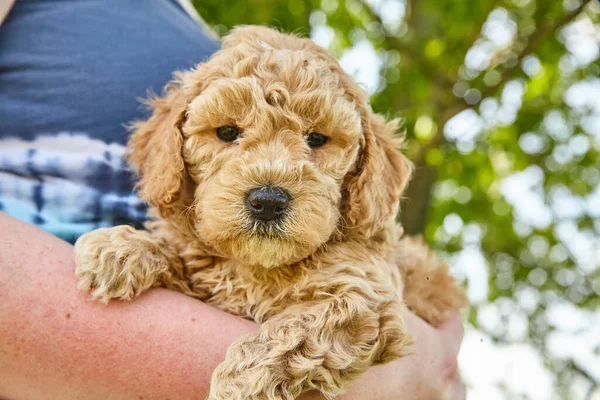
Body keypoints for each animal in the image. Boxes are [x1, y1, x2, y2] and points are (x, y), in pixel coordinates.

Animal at [75, 26, 466, 398]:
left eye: (317, 139)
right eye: (227, 132)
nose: (267, 201)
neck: (257, 269)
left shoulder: (364, 295)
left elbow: (292, 332)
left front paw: (236, 387)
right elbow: (182, 253)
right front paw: (120, 248)